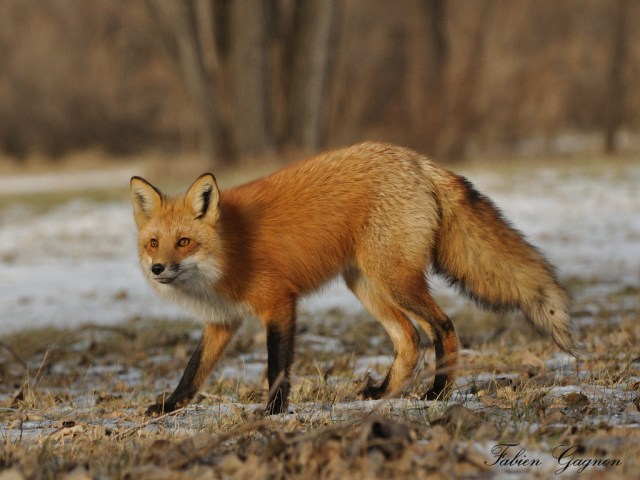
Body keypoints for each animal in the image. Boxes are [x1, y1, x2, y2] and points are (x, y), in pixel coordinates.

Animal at [130, 141, 584, 414]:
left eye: (184, 242)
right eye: (154, 243)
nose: (157, 269)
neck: (226, 251)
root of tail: (417, 160)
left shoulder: (279, 303)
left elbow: (277, 368)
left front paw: (273, 412)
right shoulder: (222, 321)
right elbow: (193, 371)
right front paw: (168, 407)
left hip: (395, 280)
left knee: (443, 327)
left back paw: (437, 393)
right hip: (367, 285)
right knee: (409, 339)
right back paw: (383, 393)